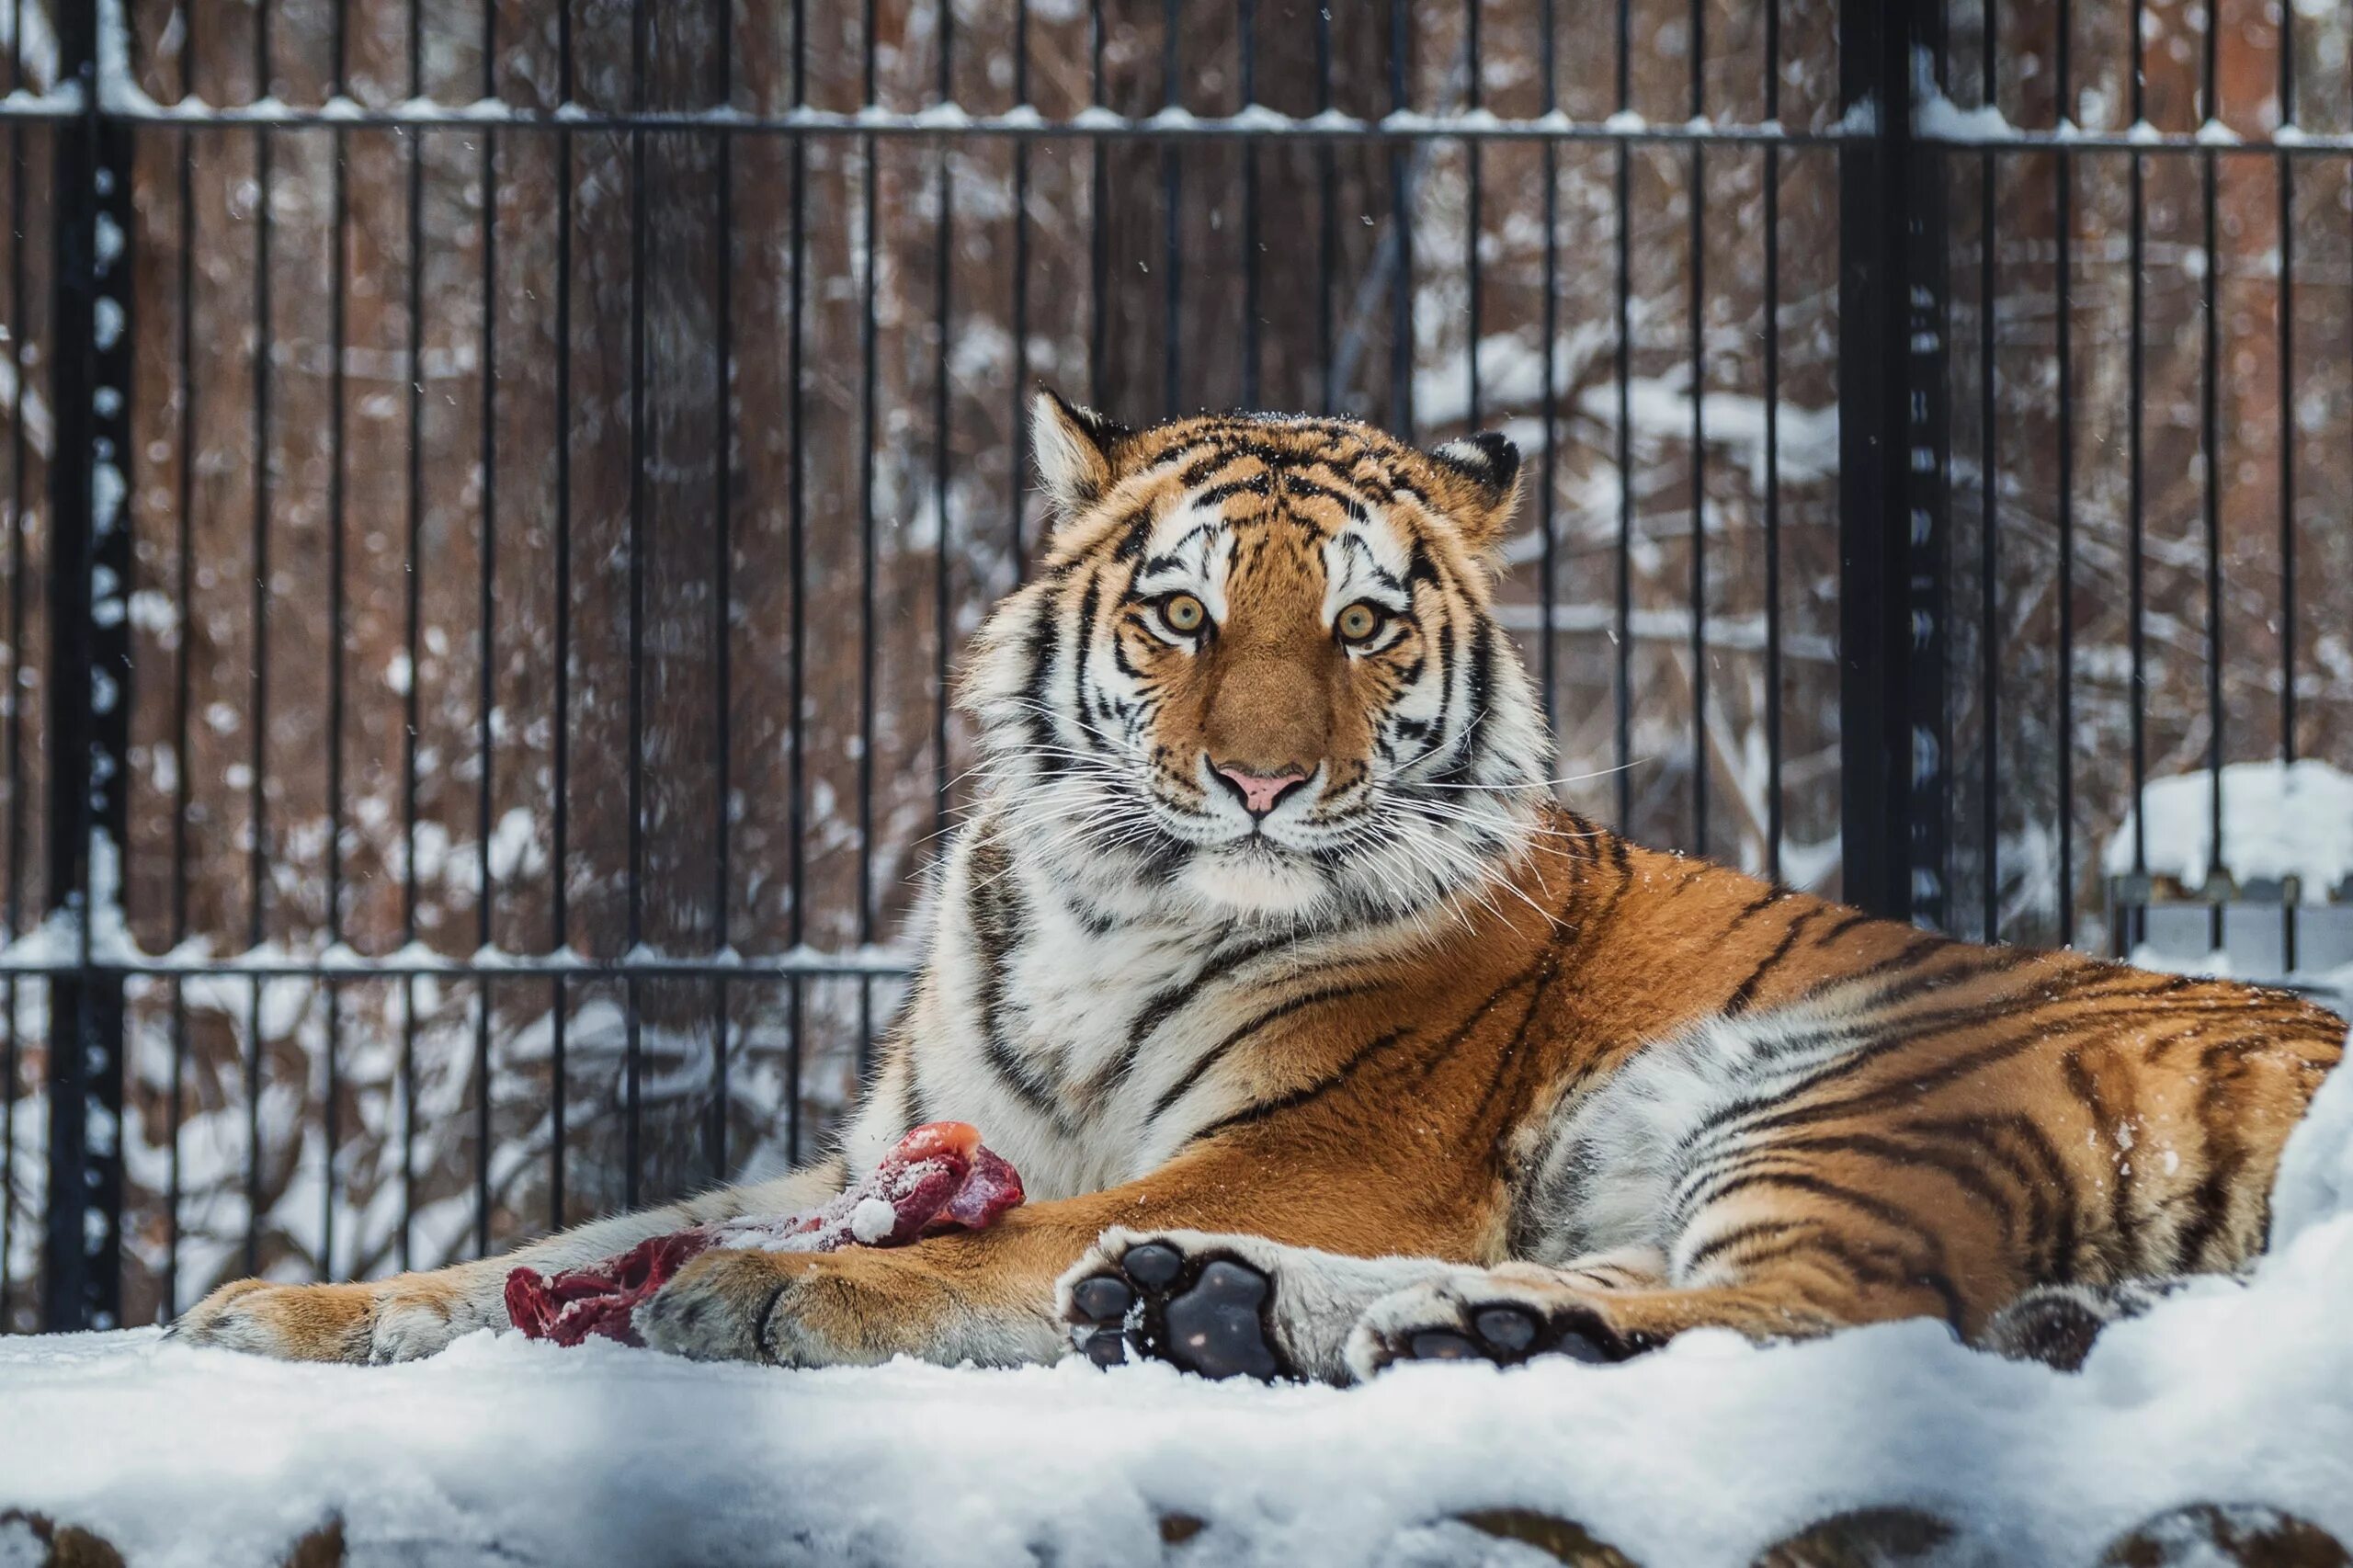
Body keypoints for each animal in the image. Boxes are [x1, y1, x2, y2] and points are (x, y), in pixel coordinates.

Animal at [174, 392, 2343, 1384]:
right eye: (1180, 613)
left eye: (1369, 624)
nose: (1260, 778)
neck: (1102, 907)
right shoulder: (881, 1137)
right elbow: (569, 1237)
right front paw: (286, 1310)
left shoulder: (1327, 1141)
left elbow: (975, 1239)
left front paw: (780, 1294)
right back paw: (1251, 1310)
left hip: (1865, 1085)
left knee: (1808, 1316)